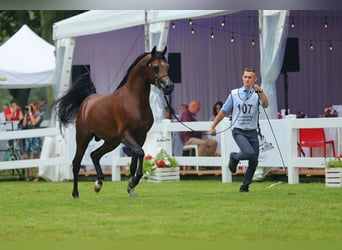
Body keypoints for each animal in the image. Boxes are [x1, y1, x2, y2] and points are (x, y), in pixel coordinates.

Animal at [56, 47, 175, 198]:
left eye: (168, 66)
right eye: (155, 67)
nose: (169, 86)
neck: (133, 101)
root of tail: (87, 100)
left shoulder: (140, 136)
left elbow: (135, 161)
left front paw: (131, 187)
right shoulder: (126, 135)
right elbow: (140, 153)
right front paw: (133, 182)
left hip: (112, 142)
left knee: (94, 155)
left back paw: (98, 183)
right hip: (83, 138)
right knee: (76, 163)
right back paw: (76, 193)